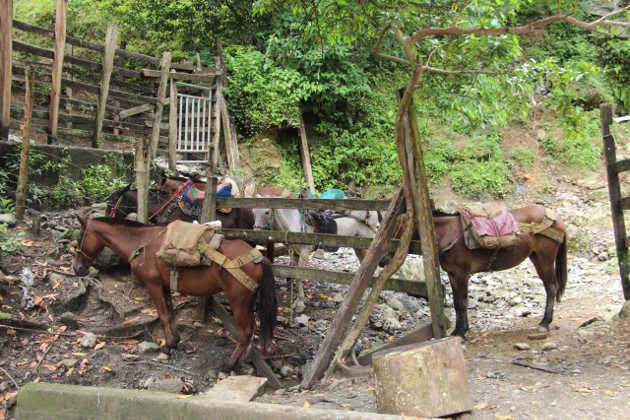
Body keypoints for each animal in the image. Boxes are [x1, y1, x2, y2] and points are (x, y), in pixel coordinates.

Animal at [71, 217, 276, 368]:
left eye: (80, 237)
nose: (77, 268)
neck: (142, 244)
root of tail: (259, 258)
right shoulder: (164, 286)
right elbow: (170, 314)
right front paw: (175, 341)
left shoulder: (153, 285)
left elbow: (162, 315)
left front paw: (168, 346)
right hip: (248, 302)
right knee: (252, 329)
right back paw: (243, 360)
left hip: (237, 301)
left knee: (245, 332)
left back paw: (230, 364)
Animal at [402, 205, 572, 340]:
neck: (448, 233)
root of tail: (558, 219)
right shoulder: (453, 274)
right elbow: (459, 302)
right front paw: (460, 330)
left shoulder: (461, 274)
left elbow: (461, 303)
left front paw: (460, 333)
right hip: (536, 257)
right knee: (550, 287)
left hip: (545, 259)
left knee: (551, 288)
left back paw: (545, 322)